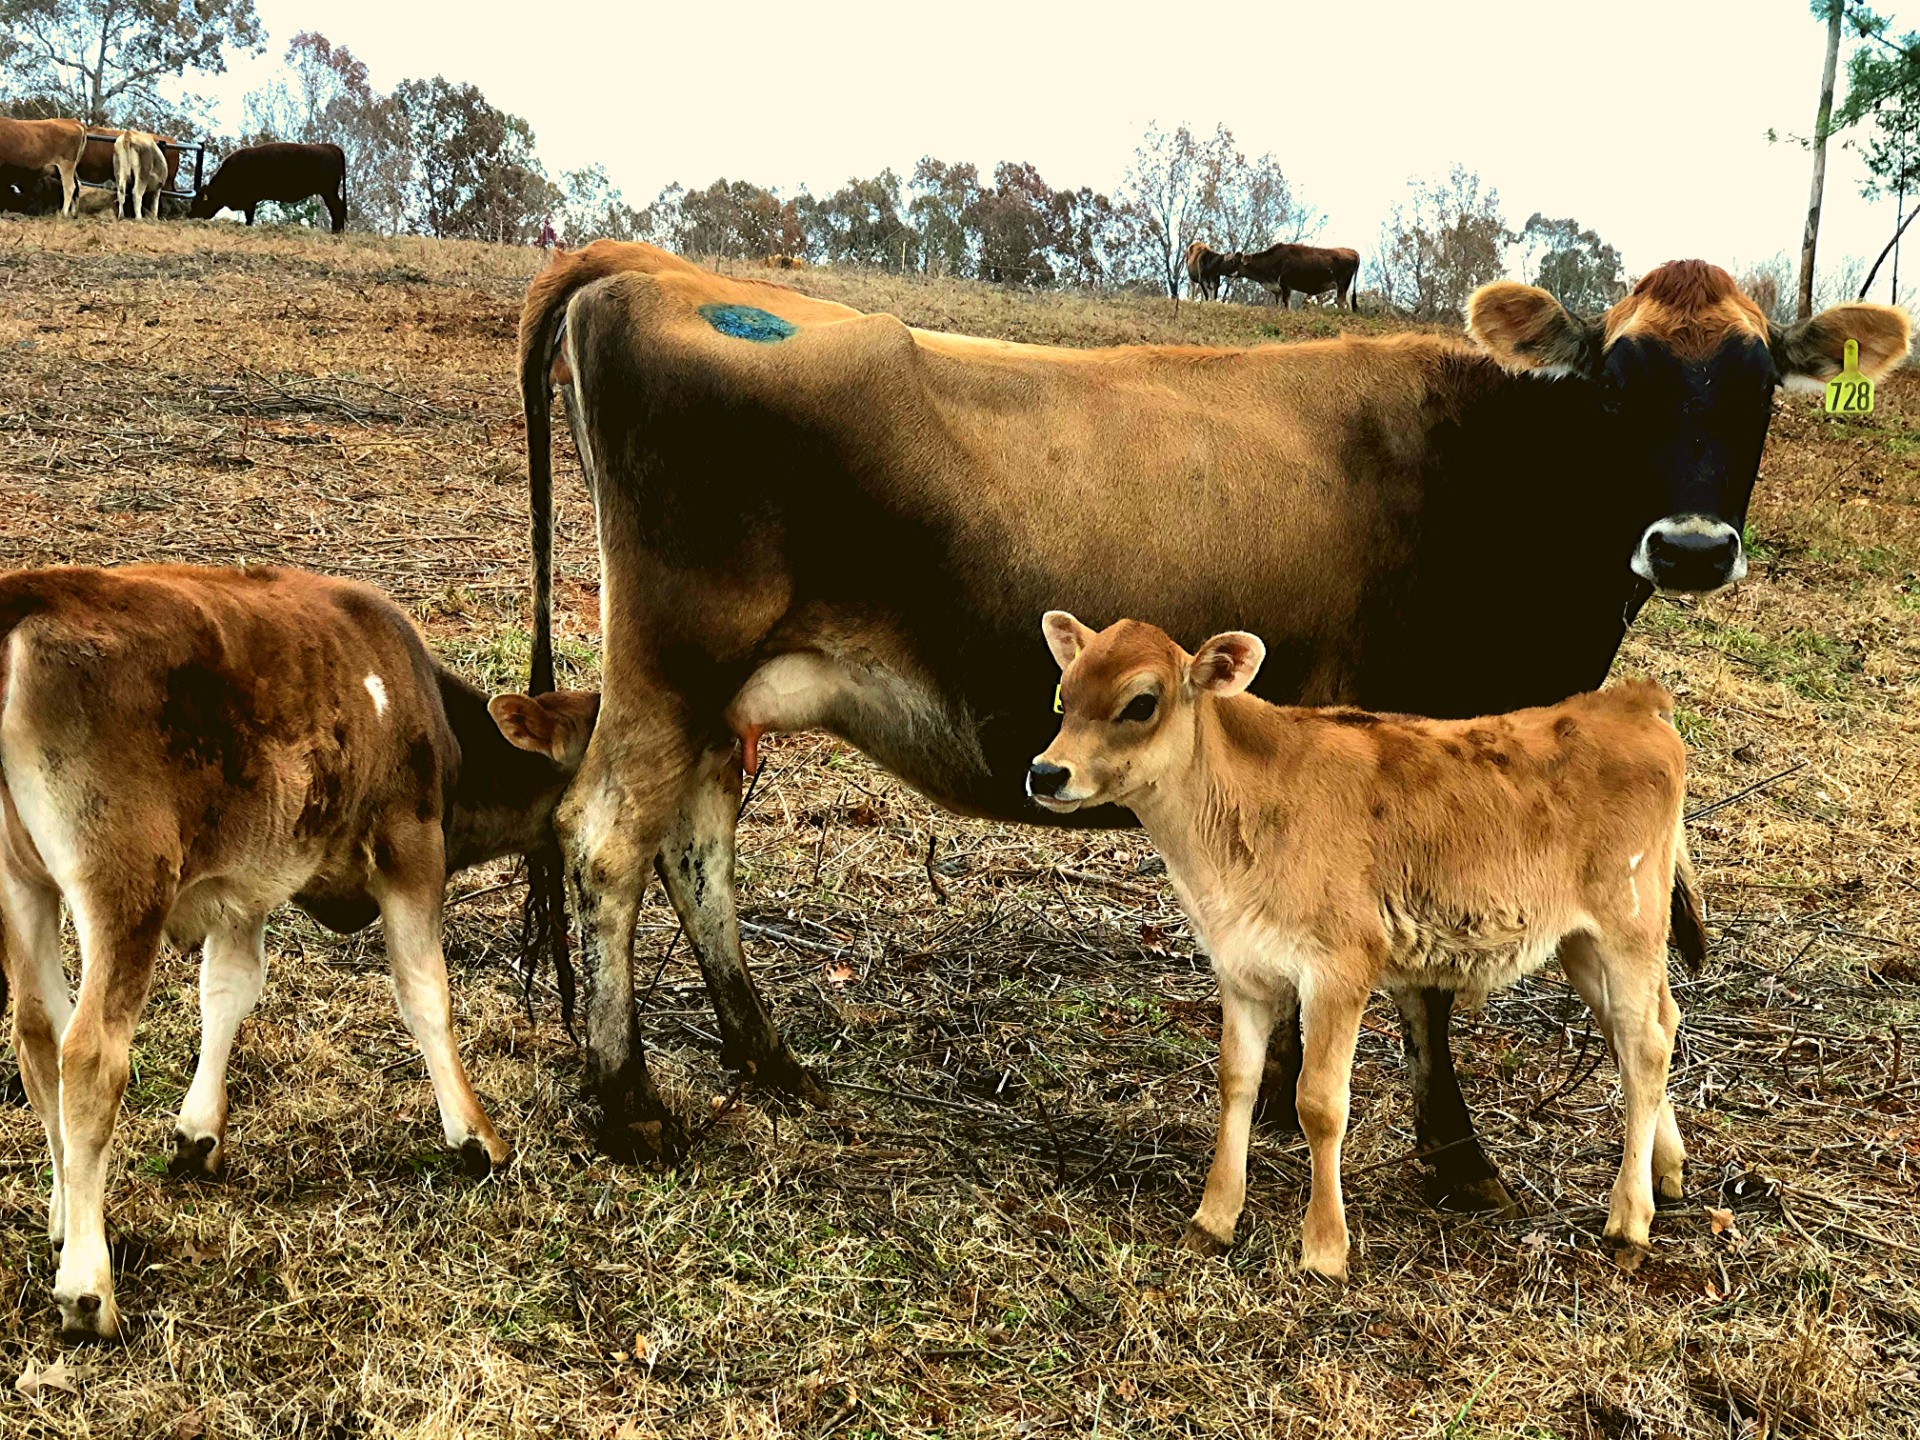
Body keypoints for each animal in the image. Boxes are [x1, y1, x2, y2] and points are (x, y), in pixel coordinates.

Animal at [0, 568, 599, 1344]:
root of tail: (30, 593)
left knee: (38, 1035)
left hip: (22, 880)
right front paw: (475, 1135)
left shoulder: (245, 879)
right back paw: (87, 1286)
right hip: (125, 880)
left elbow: (227, 990)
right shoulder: (410, 844)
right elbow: (426, 995)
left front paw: (199, 1133)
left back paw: (66, 1221)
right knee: (88, 1054)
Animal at [189, 142, 347, 234]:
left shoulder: (250, 202)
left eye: (200, 202)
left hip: (328, 192)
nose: (190, 216)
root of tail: (330, 146)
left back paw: (335, 232)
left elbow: (249, 218)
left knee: (336, 209)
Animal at [1029, 614, 1704, 1282]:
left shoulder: (1340, 966)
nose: (1046, 772)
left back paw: (1629, 1223)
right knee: (1647, 1026)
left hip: (1630, 923)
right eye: (1065, 694)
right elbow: (1236, 1079)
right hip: (1581, 940)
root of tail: (1629, 701)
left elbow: (1321, 1103)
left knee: (1644, 1045)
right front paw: (1213, 1220)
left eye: (1142, 702)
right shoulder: (1241, 966)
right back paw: (1667, 1169)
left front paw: (1325, 1250)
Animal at [1228, 242, 1367, 312]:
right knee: (1349, 303)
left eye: (1233, 261)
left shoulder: (1285, 284)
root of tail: (1353, 252)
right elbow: (1279, 303)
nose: (1228, 274)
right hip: (1348, 287)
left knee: (1341, 302)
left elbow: (1287, 303)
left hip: (1342, 285)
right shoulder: (1278, 289)